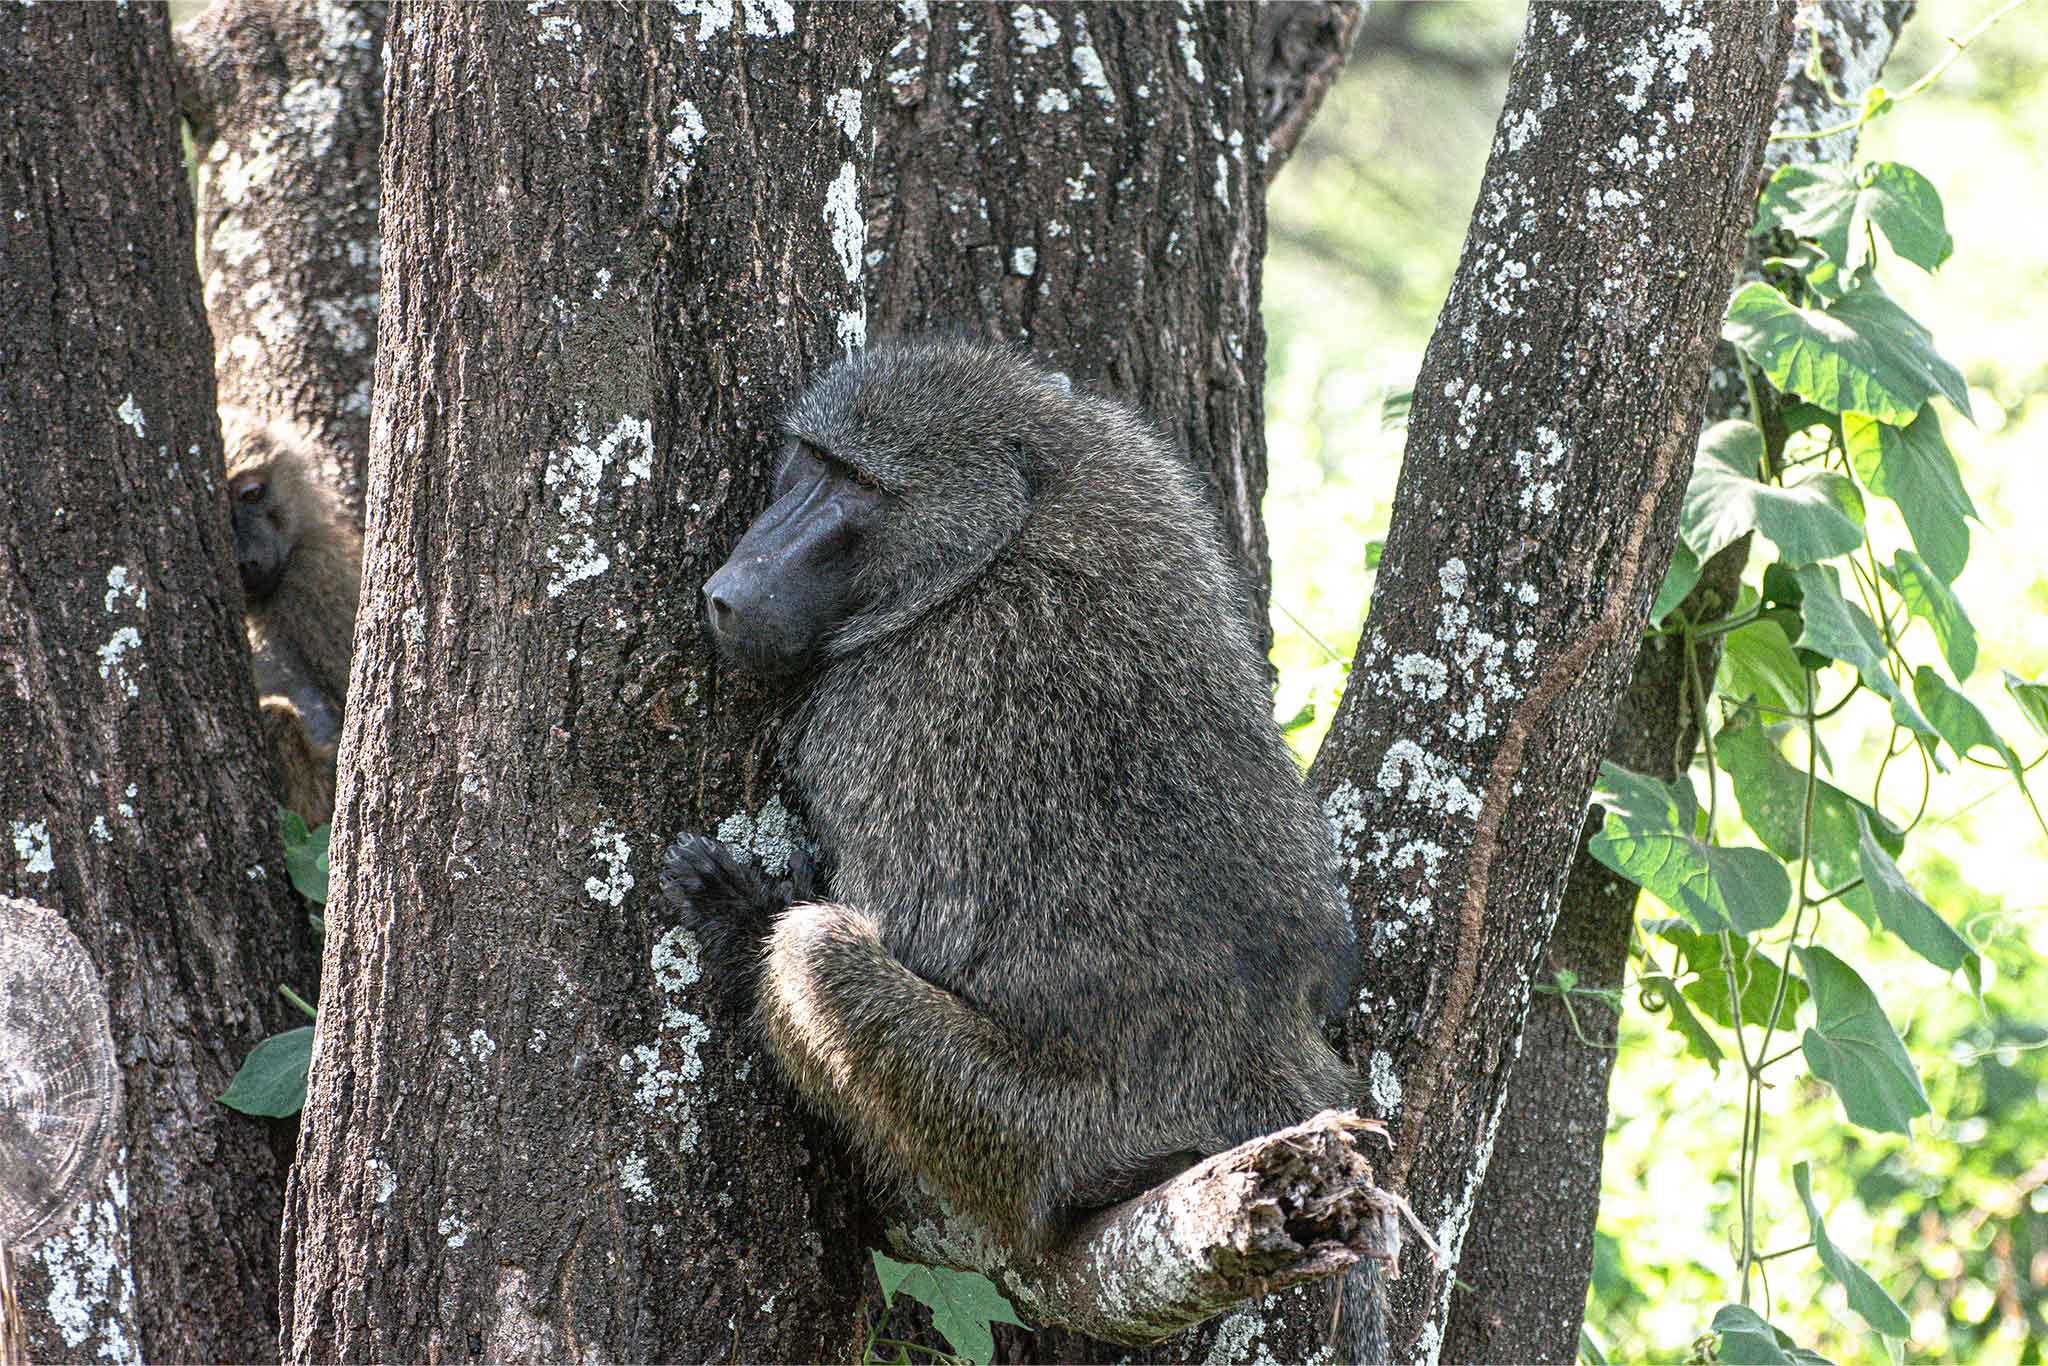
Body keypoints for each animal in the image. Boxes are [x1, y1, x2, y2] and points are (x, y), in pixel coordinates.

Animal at [660, 337, 1386, 1362]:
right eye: (814, 461)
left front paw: (738, 912)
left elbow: (901, 913)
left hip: (1039, 1130)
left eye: (861, 487)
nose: (732, 595)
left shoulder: (883, 706)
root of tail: (1252, 1059)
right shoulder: (1142, 472)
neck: (1004, 533)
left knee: (819, 955)